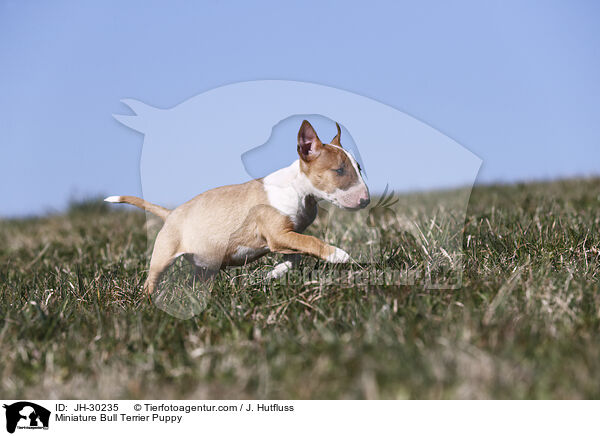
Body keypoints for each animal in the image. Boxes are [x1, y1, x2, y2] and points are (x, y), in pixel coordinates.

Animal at [105, 121, 368, 294]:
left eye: (358, 168)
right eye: (339, 171)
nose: (366, 200)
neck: (298, 189)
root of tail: (171, 213)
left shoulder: (288, 236)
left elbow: (297, 255)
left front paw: (274, 272)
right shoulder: (278, 234)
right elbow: (311, 242)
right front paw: (338, 254)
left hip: (205, 264)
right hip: (163, 256)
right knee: (151, 281)